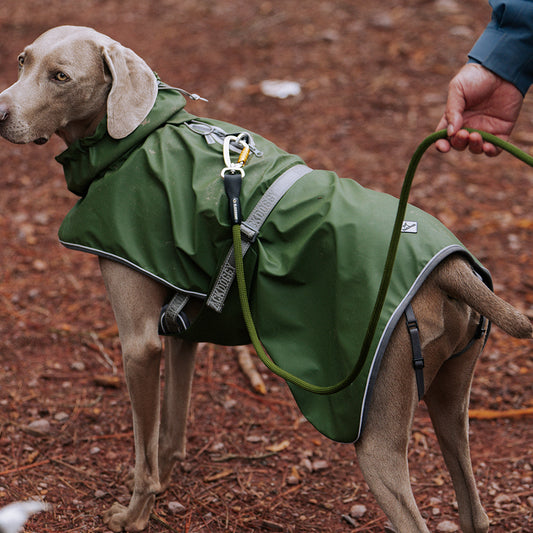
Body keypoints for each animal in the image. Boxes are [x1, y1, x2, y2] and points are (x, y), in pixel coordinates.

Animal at [1, 26, 532, 532]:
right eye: (23, 60)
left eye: (61, 77)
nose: (0, 113)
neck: (134, 138)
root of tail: (452, 267)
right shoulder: (182, 327)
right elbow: (170, 434)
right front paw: (162, 487)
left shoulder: (139, 343)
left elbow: (144, 455)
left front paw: (133, 516)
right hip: (451, 399)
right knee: (475, 510)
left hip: (376, 426)